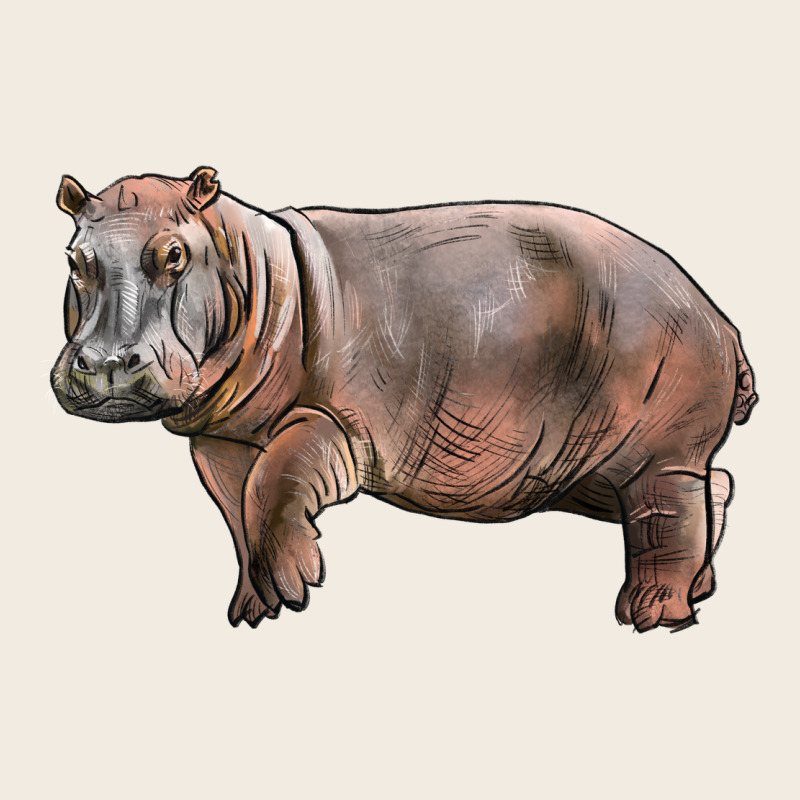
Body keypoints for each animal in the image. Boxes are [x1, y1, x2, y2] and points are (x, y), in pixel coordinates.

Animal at [51, 167, 757, 632]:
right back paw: (699, 591)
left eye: (173, 253)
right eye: (73, 257)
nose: (107, 364)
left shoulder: (333, 421)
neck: (245, 260)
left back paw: (650, 617)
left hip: (658, 449)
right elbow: (238, 510)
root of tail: (720, 317)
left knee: (668, 513)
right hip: (588, 468)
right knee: (712, 489)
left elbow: (273, 484)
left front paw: (294, 589)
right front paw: (253, 611)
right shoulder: (221, 438)